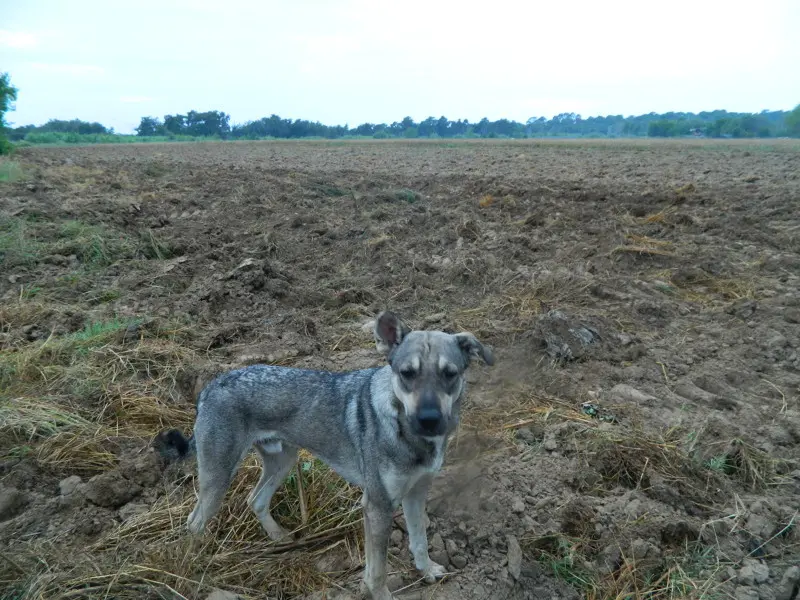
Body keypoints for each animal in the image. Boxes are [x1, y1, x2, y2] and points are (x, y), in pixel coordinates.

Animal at [156, 312, 494, 596]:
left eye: (450, 374)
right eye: (407, 373)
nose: (429, 419)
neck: (404, 428)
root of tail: (209, 388)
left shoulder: (415, 493)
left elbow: (419, 541)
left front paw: (427, 571)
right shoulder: (377, 505)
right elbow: (378, 572)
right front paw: (380, 593)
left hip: (283, 461)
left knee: (255, 499)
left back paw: (278, 537)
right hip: (218, 477)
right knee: (194, 522)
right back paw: (192, 569)